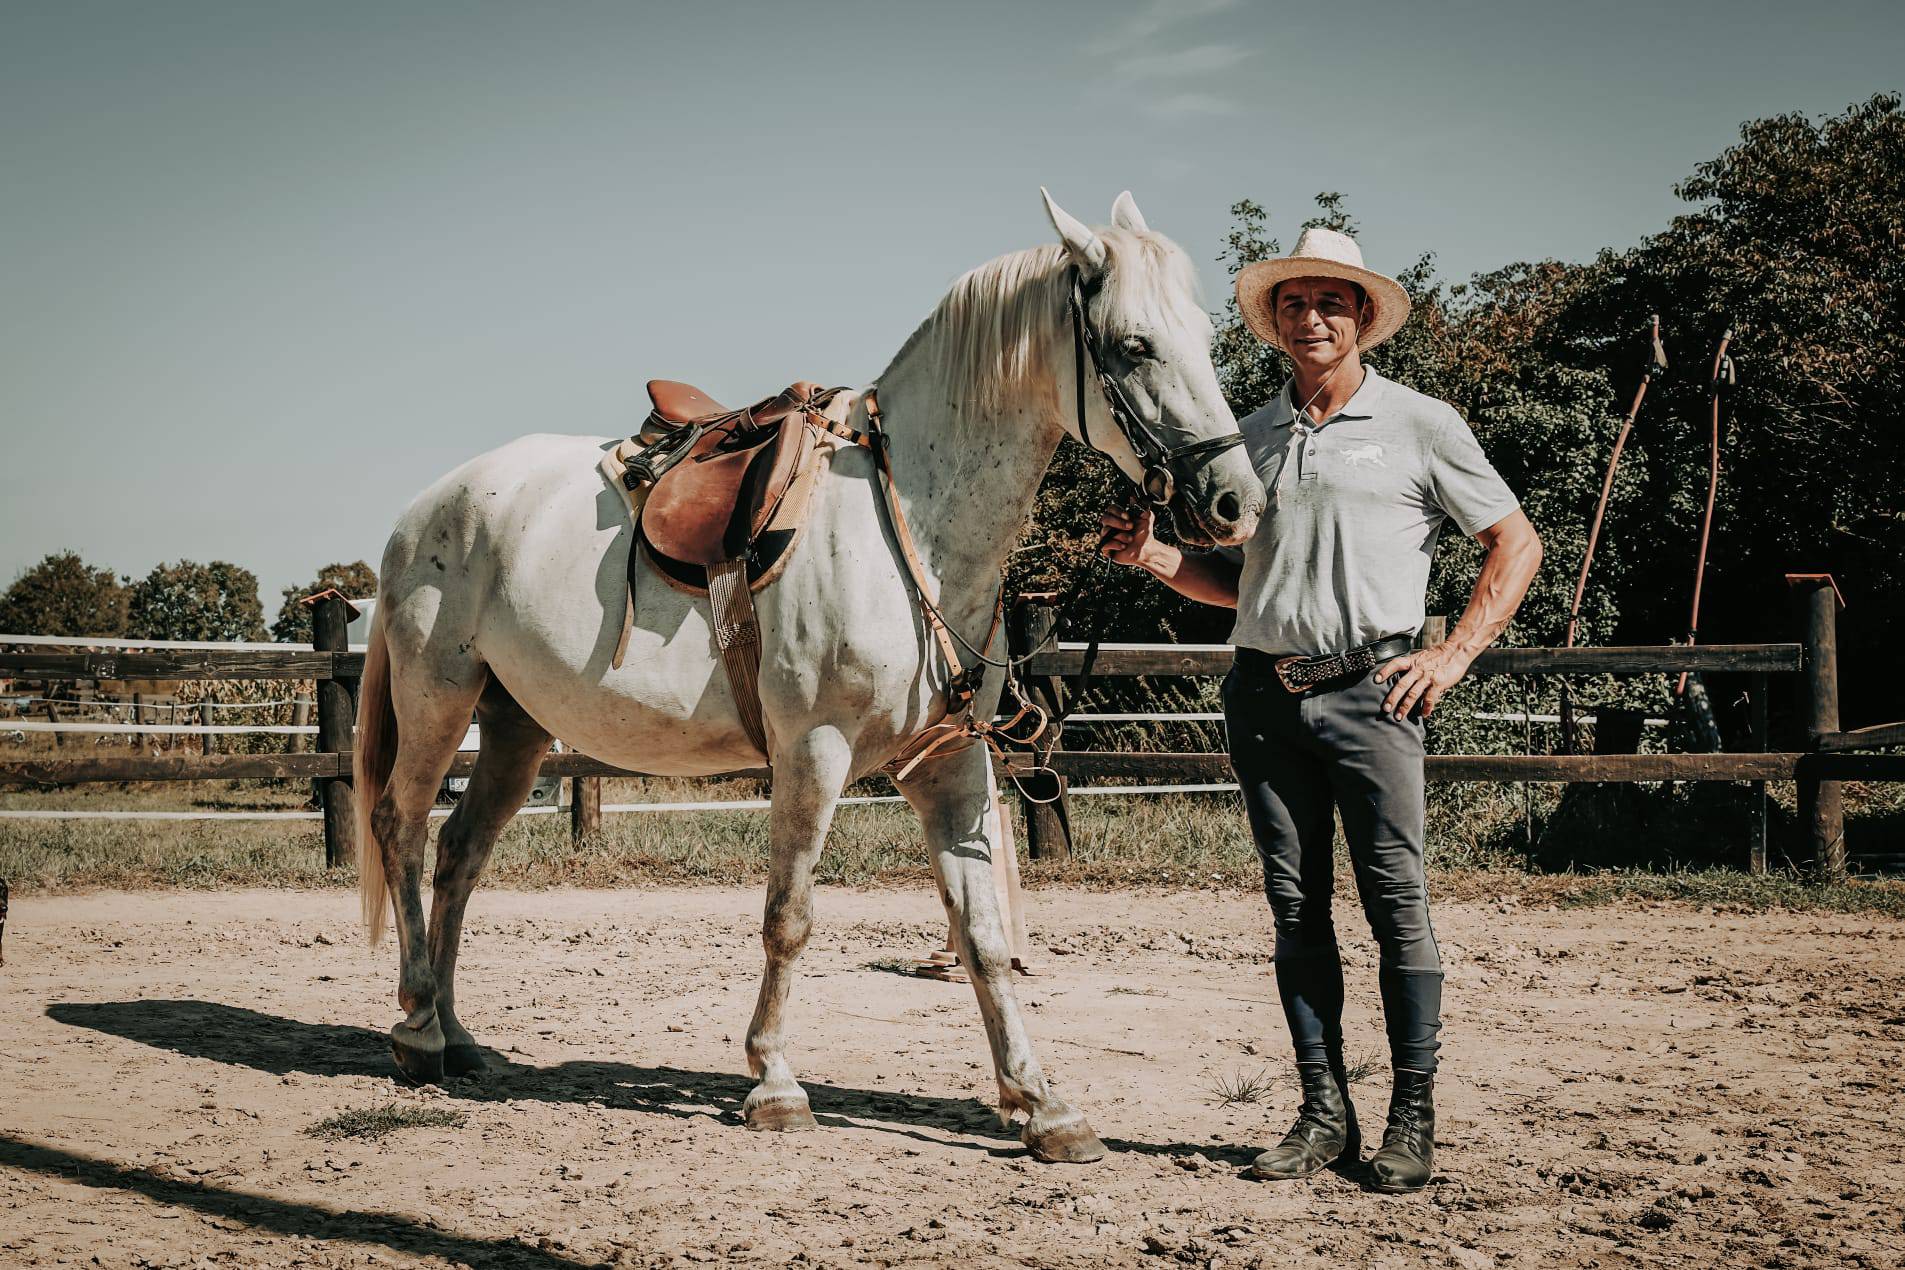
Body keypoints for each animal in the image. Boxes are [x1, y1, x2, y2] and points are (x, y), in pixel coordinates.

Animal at [354, 188, 1264, 1165]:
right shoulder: (812, 753)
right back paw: (417, 1029)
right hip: (438, 700)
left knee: (460, 853)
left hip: (515, 727)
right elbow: (789, 917)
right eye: (1133, 345)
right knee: (402, 829)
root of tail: (427, 508)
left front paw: (1041, 1103)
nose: (1235, 504)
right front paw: (774, 1083)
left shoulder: (948, 764)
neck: (908, 530)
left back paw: (457, 1035)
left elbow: (981, 933)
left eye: (1200, 334)